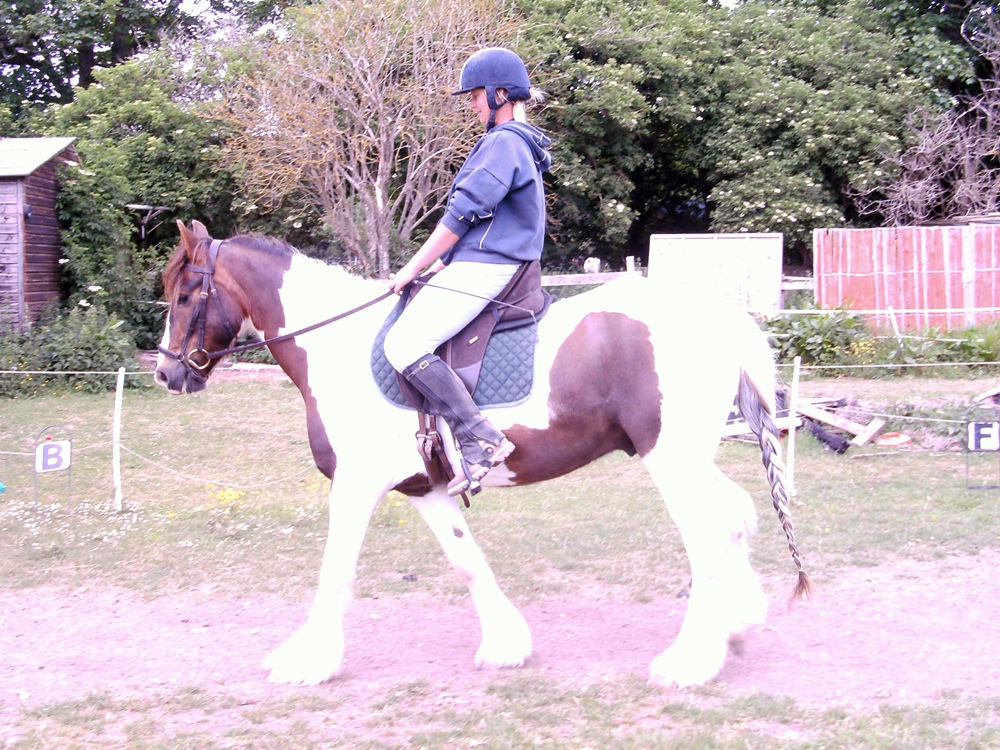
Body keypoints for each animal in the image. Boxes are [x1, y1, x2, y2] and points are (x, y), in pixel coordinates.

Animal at [155, 220, 811, 689]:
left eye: (186, 295)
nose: (166, 373)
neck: (337, 347)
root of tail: (717, 316)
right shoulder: (426, 488)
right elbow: (467, 561)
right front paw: (506, 644)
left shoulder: (356, 485)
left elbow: (335, 571)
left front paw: (308, 660)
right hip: (690, 461)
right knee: (737, 516)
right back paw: (736, 625)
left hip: (670, 461)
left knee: (710, 534)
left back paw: (690, 661)